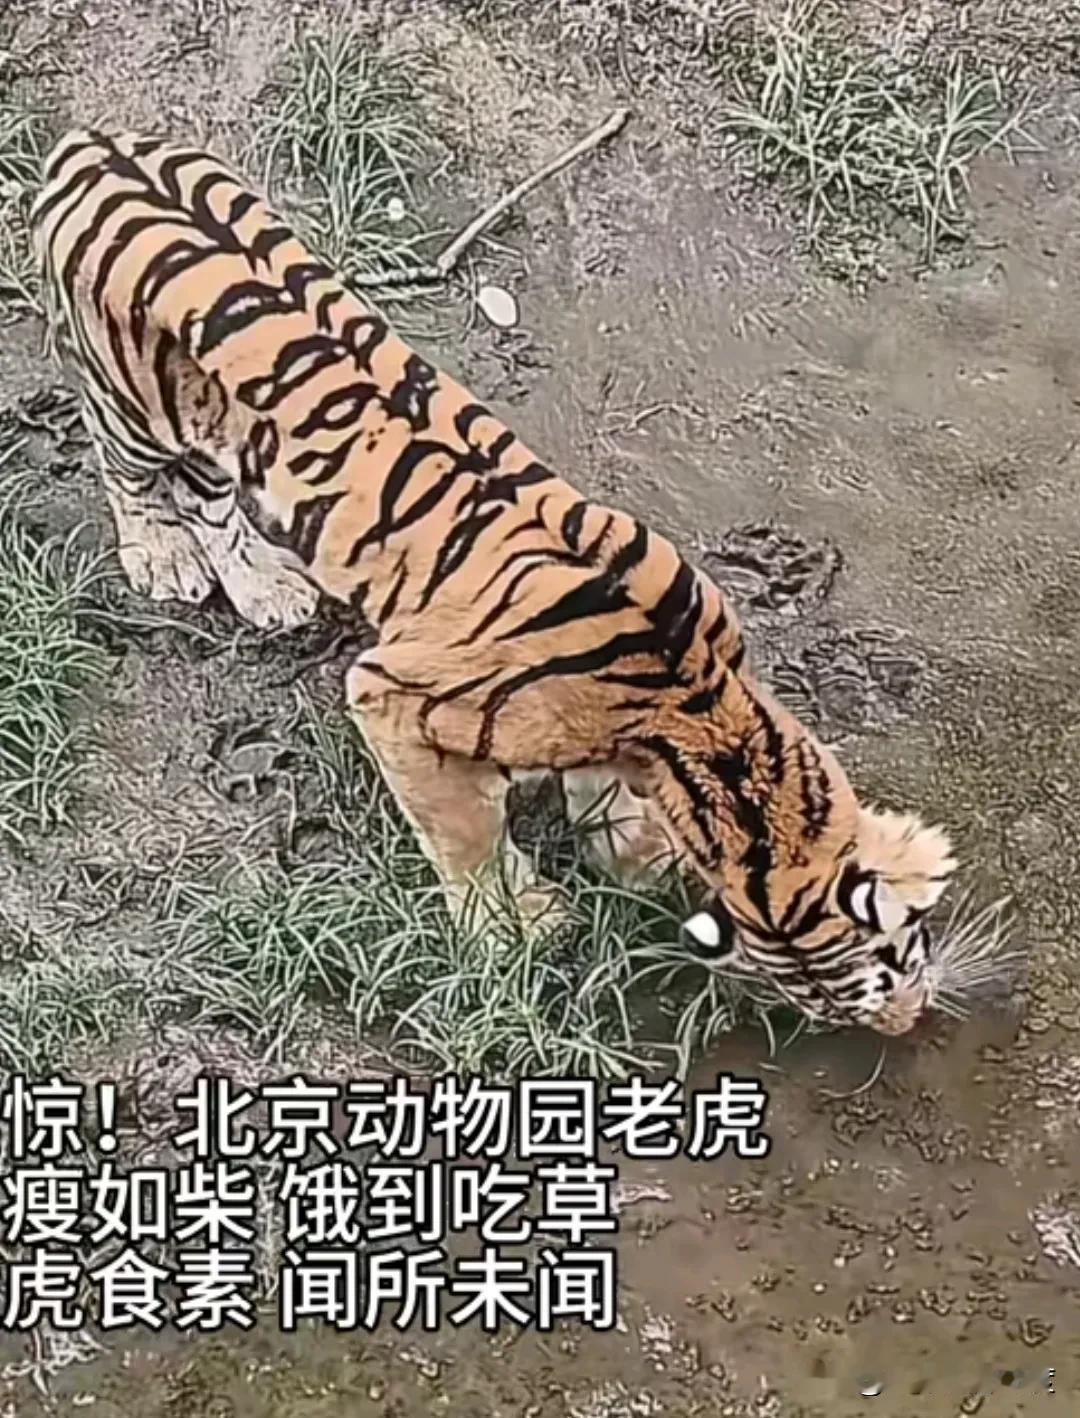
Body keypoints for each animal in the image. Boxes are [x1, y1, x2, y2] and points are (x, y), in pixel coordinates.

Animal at [31, 127, 958, 1036]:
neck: (696, 704)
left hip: (218, 428)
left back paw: (266, 587)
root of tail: (90, 141)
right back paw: (162, 557)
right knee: (132, 473)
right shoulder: (391, 696)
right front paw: (514, 926)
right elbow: (465, 832)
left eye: (897, 962)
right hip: (135, 408)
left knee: (212, 493)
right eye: (865, 985)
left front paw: (630, 851)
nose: (903, 1026)